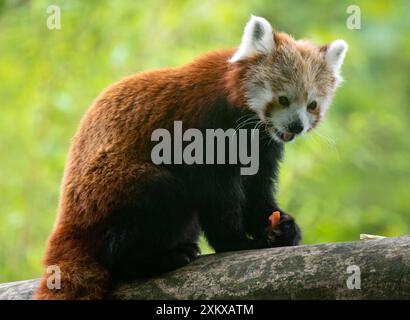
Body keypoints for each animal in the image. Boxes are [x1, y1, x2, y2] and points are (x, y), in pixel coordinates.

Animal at [34, 16, 346, 298]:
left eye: (312, 105)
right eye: (283, 99)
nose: (296, 126)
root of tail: (68, 221)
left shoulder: (263, 144)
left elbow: (258, 187)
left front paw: (280, 228)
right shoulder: (204, 127)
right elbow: (216, 193)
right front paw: (236, 242)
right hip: (114, 191)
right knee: (163, 198)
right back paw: (159, 258)